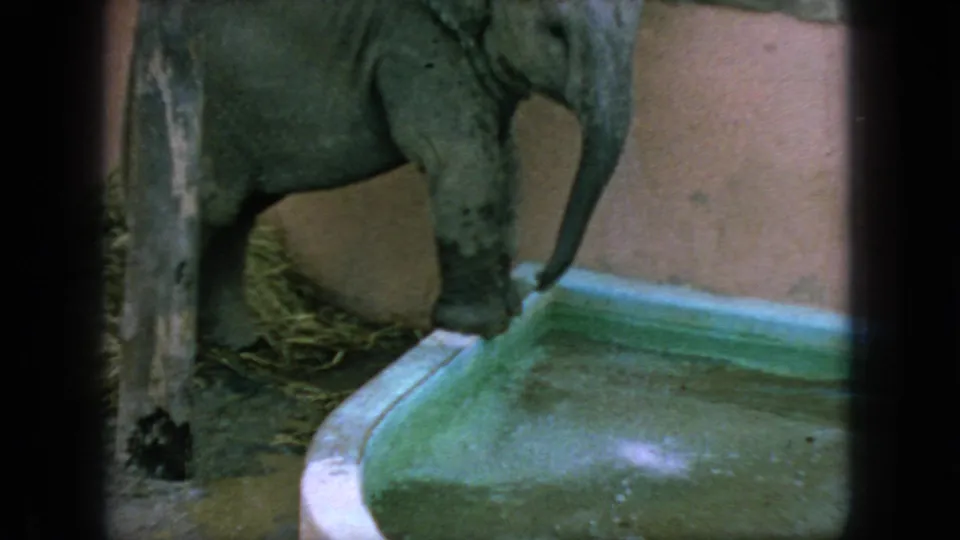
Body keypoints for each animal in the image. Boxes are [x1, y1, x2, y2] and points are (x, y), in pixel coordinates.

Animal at [134, 0, 645, 348]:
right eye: (555, 31)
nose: (540, 279)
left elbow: (505, 156)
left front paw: (510, 307)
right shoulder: (413, 42)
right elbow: (462, 157)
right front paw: (482, 326)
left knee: (237, 214)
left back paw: (240, 341)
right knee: (215, 209)